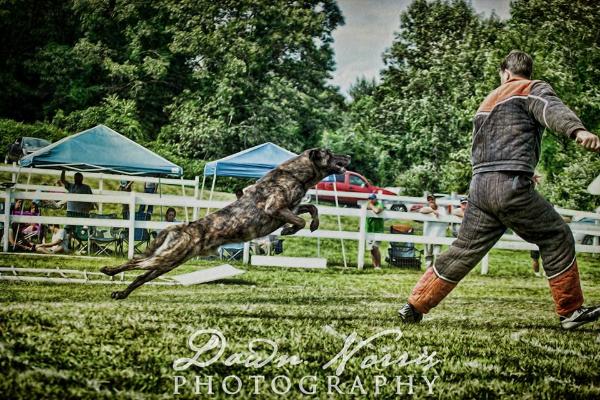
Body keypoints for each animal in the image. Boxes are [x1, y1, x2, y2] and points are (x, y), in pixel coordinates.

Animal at [100, 148, 350, 298]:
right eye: (329, 153)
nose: (349, 157)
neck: (295, 174)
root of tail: (179, 227)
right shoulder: (276, 209)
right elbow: (299, 219)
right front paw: (291, 229)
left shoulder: (292, 207)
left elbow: (312, 208)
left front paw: (313, 224)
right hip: (167, 257)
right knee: (134, 263)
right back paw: (108, 270)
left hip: (168, 263)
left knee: (140, 274)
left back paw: (121, 293)